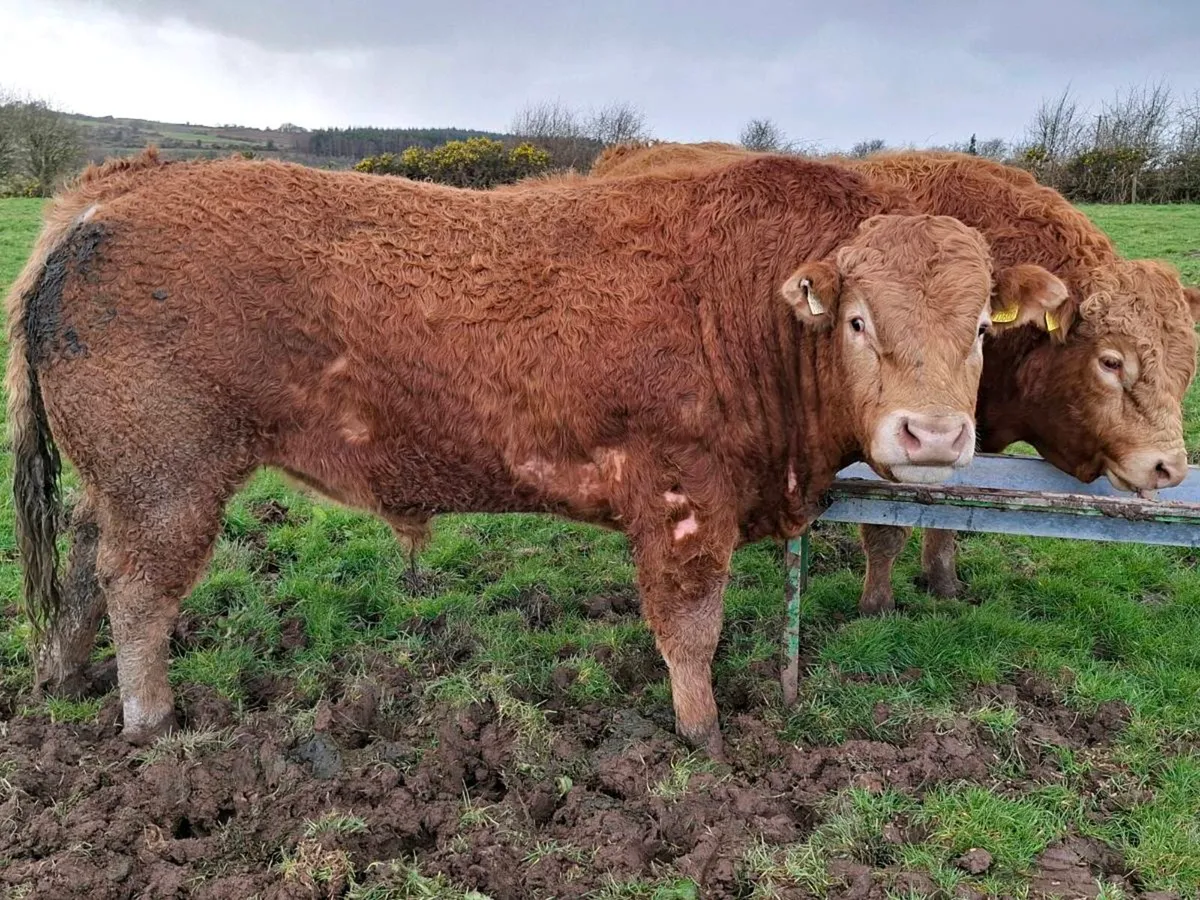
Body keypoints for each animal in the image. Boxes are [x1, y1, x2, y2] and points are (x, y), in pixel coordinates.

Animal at [8, 148, 1064, 756]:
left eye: (981, 326)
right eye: (856, 319)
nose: (934, 435)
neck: (751, 306)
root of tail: (102, 202)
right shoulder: (684, 496)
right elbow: (691, 629)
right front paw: (703, 737)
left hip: (118, 480)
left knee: (80, 568)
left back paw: (64, 677)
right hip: (168, 480)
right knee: (137, 590)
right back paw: (148, 719)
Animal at [589, 142, 1200, 613]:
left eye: (1188, 364)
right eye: (1111, 361)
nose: (1168, 467)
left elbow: (948, 517)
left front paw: (943, 583)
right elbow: (887, 528)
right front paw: (876, 605)